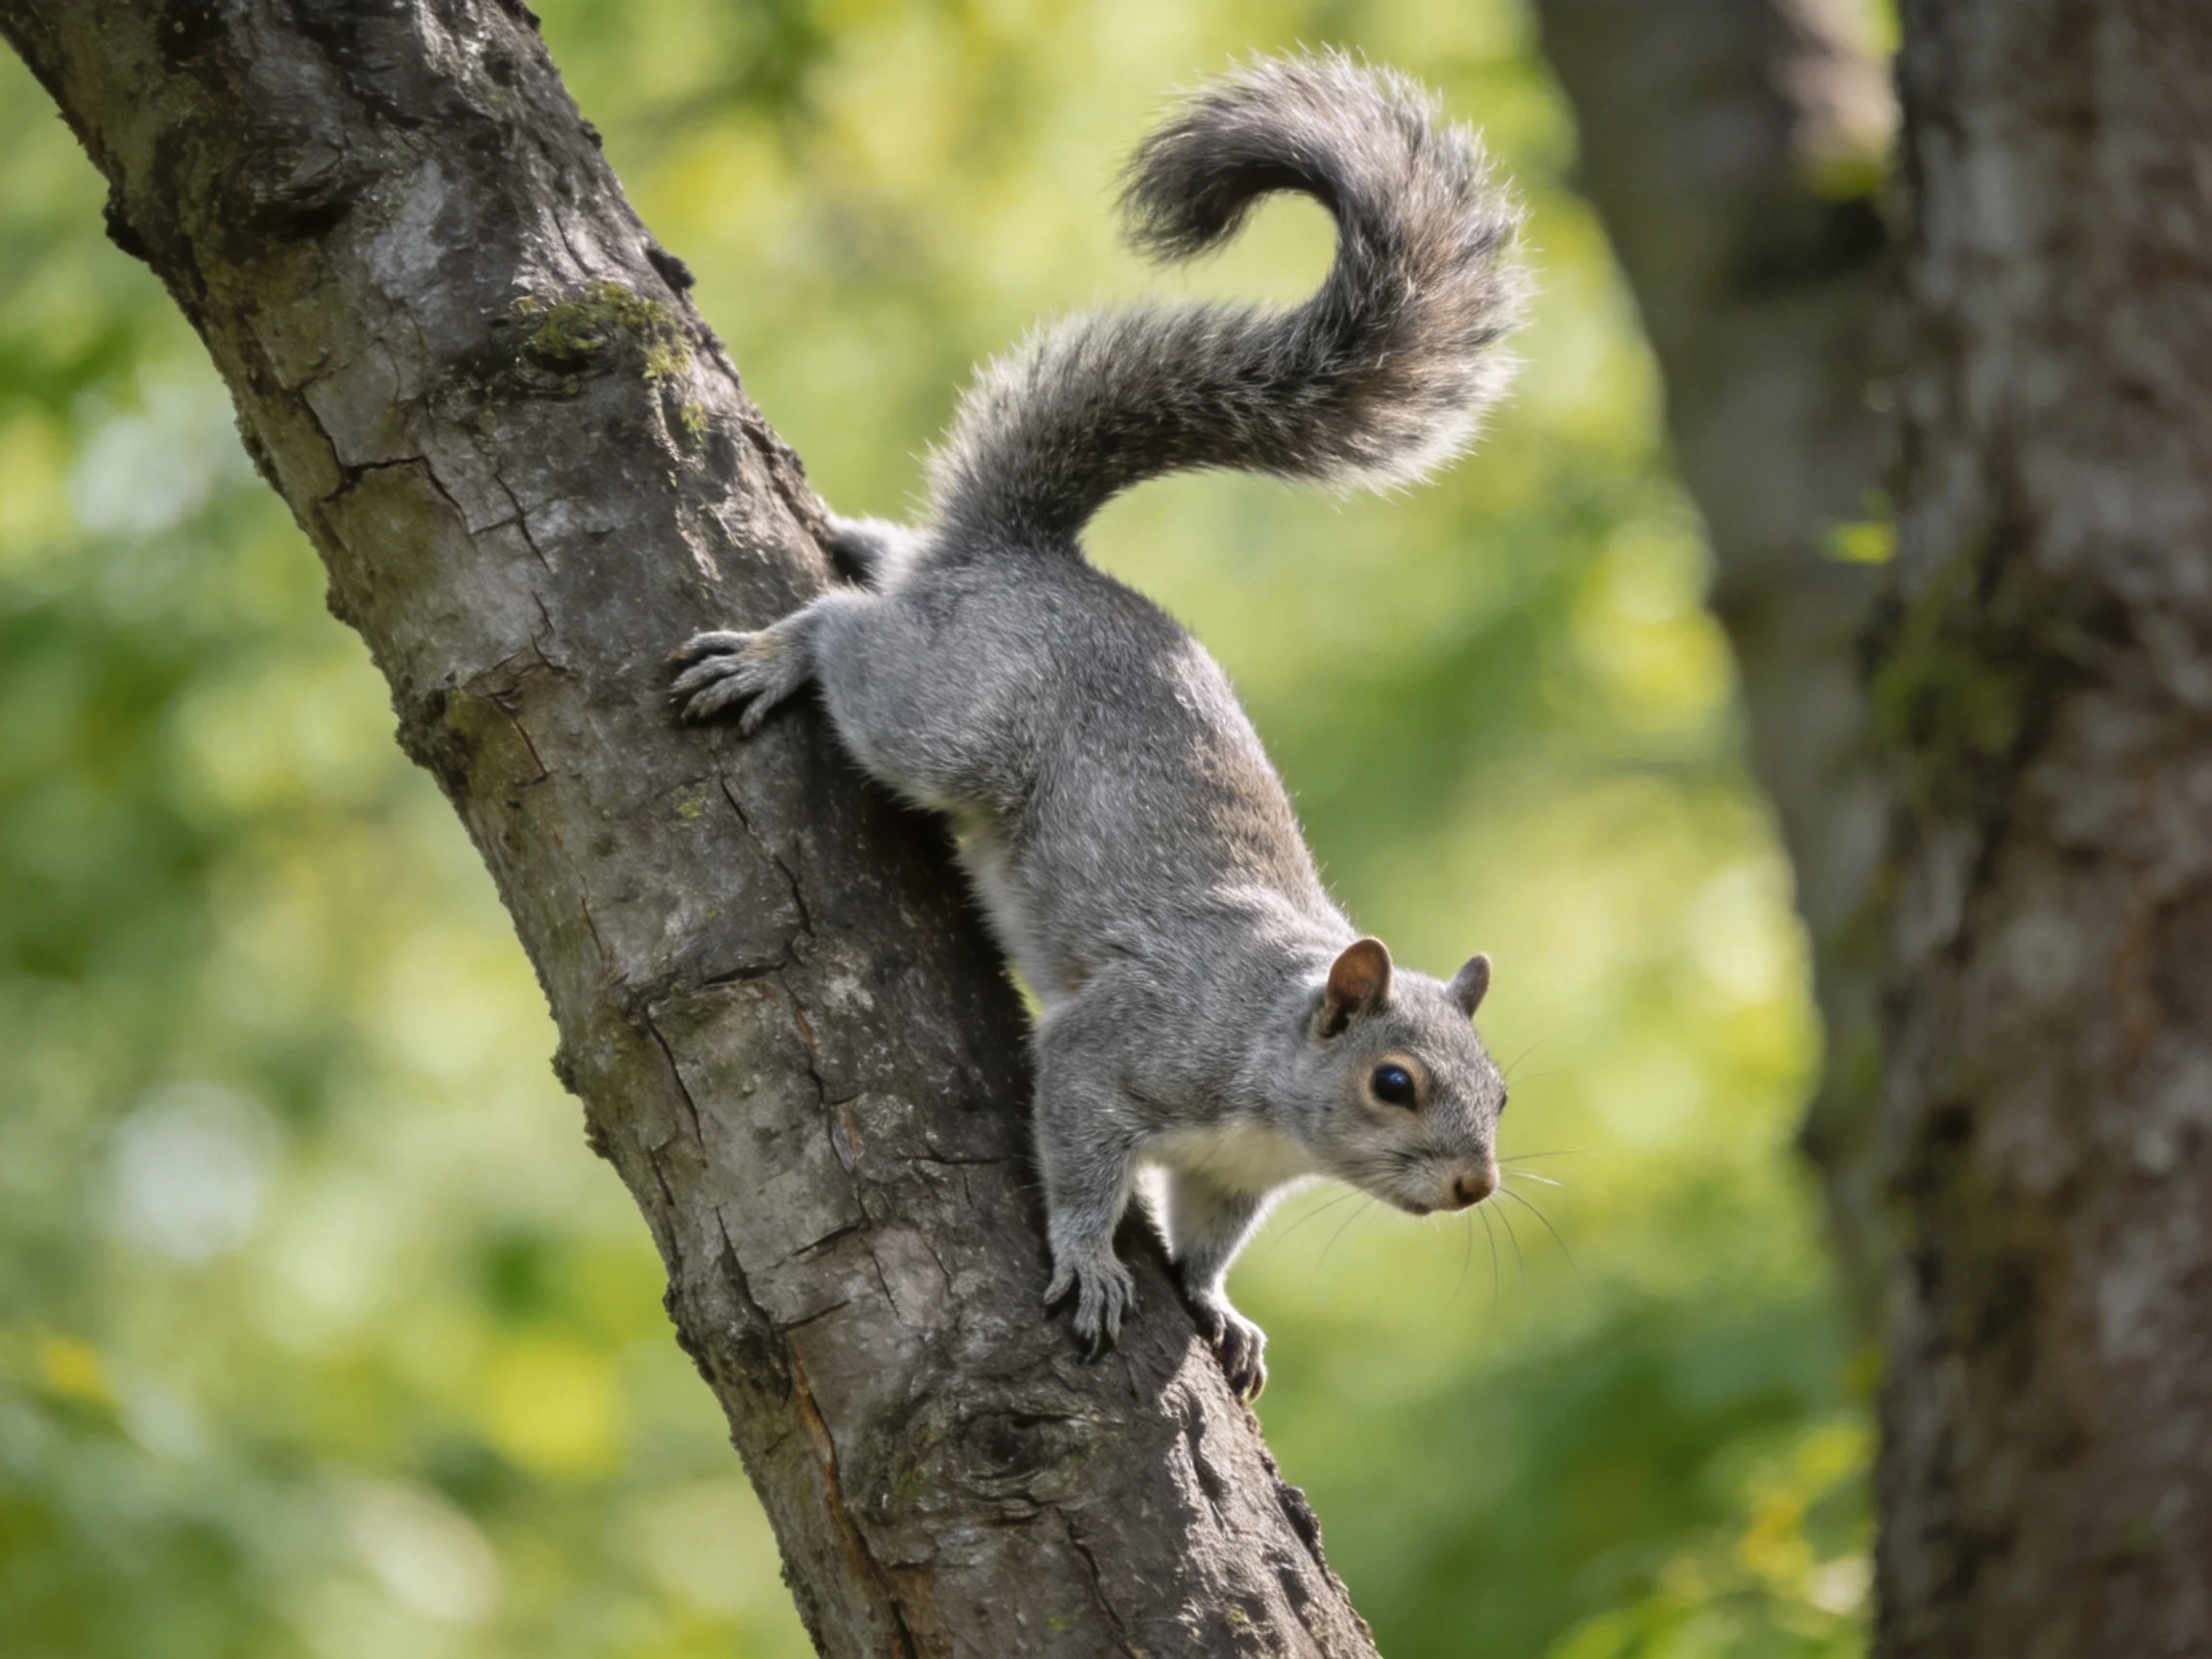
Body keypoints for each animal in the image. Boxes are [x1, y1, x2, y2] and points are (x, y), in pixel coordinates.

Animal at [671, 53, 1528, 1399]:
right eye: (1395, 1083)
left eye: (1503, 1093)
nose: (1474, 1186)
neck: (1271, 1061)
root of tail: (1027, 556)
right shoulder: (1124, 1042)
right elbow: (1074, 1140)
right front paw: (1090, 1260)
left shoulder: (1227, 1176)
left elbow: (1212, 1239)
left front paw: (1221, 1307)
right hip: (955, 725)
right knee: (858, 645)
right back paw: (782, 649)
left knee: (899, 567)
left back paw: (862, 540)